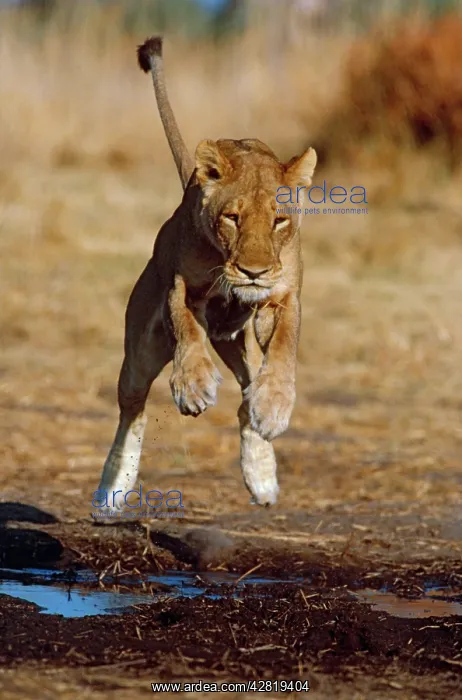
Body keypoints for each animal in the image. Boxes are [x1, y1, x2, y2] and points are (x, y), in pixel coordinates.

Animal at [96, 36, 317, 510]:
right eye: (232, 217)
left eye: (279, 220)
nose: (253, 272)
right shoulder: (181, 286)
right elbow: (186, 327)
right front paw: (193, 386)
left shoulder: (283, 297)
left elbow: (284, 350)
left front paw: (274, 407)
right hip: (142, 347)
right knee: (133, 406)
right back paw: (113, 488)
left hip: (235, 341)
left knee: (246, 394)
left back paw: (261, 472)